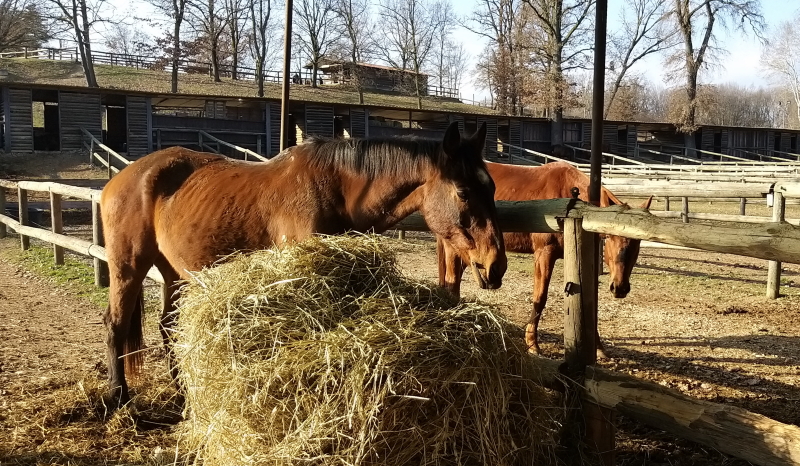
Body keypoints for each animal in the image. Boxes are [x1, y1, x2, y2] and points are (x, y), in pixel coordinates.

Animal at [97, 122, 504, 406]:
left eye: (493, 188)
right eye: (463, 192)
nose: (495, 265)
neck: (335, 189)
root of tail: (122, 177)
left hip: (175, 273)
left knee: (168, 328)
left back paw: (184, 394)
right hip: (128, 265)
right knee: (116, 323)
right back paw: (119, 396)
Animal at [438, 160, 648, 354]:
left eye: (637, 242)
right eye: (610, 237)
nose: (620, 288)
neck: (570, 206)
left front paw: (598, 348)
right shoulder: (544, 254)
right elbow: (540, 298)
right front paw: (532, 344)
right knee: (452, 280)